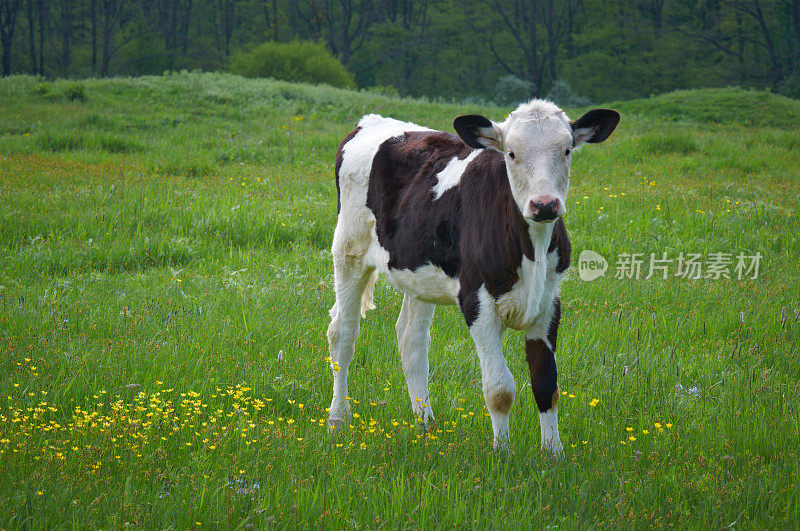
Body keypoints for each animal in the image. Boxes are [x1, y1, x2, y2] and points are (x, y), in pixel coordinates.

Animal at [324, 100, 620, 458]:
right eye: (511, 153)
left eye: (566, 150)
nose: (545, 204)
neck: (530, 249)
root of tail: (370, 121)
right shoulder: (477, 302)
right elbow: (499, 388)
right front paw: (502, 454)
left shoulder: (549, 303)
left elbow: (546, 384)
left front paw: (553, 455)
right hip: (348, 249)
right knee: (342, 334)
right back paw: (338, 421)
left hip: (418, 273)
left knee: (411, 340)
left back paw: (426, 426)